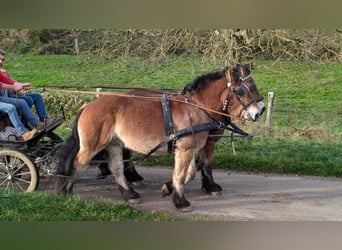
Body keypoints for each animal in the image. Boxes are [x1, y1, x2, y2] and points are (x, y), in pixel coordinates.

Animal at [54, 65, 264, 211]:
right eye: (242, 90)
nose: (260, 111)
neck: (196, 108)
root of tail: (88, 106)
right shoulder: (187, 149)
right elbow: (182, 174)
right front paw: (181, 201)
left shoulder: (190, 148)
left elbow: (190, 172)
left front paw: (168, 189)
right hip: (93, 144)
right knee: (77, 164)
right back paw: (65, 190)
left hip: (114, 144)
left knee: (117, 168)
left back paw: (130, 194)